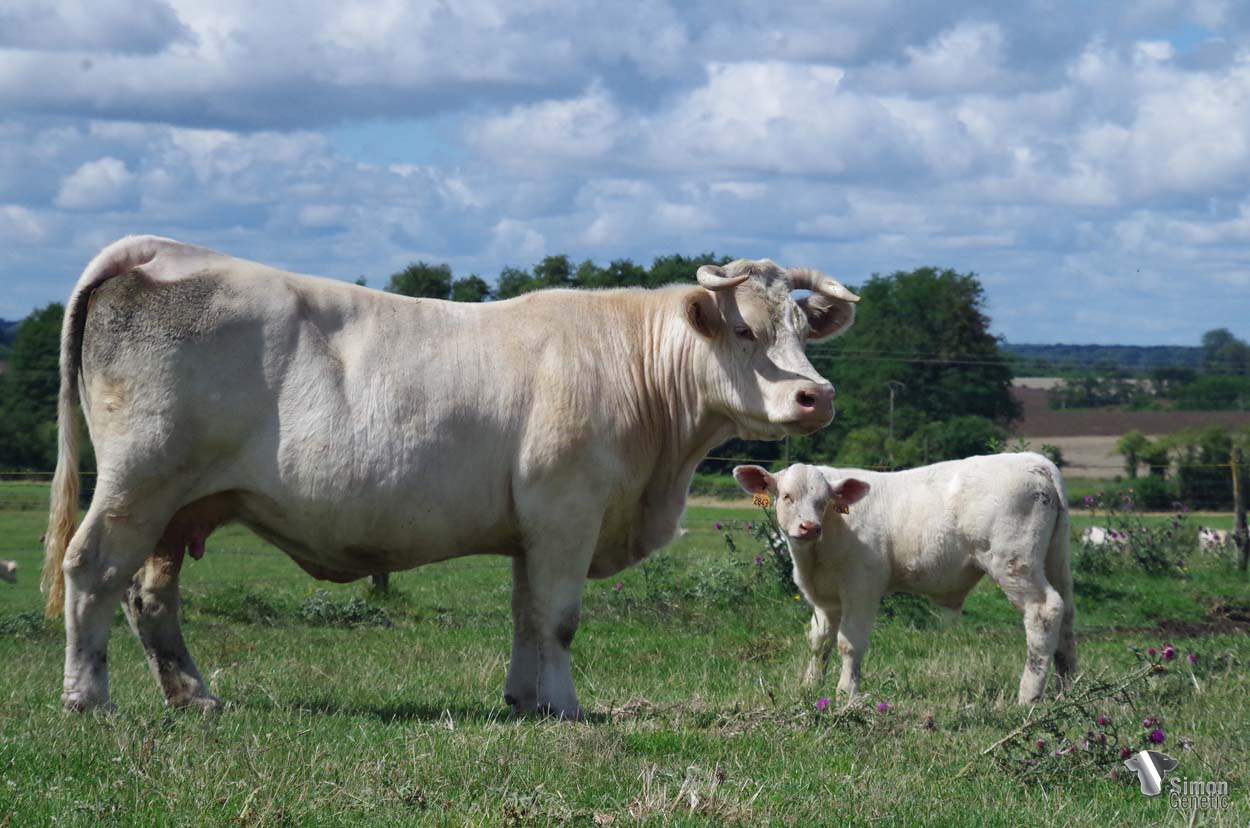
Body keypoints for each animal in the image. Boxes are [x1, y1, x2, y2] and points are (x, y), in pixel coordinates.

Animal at [41, 235, 860, 717]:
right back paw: (89, 701)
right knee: (92, 571)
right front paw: (568, 708)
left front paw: (525, 703)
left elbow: (528, 616)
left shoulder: (534, 527)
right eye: (746, 328)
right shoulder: (567, 510)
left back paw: (194, 697)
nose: (816, 396)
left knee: (150, 596)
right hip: (138, 481)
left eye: (802, 328)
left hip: (179, 503)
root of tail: (164, 254)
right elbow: (560, 619)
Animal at [733, 453, 1076, 705]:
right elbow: (819, 642)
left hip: (1014, 563)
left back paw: (1028, 696)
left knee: (1044, 611)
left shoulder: (862, 587)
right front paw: (809, 686)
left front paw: (846, 693)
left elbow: (849, 642)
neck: (815, 557)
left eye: (824, 501)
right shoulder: (824, 598)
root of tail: (1033, 460)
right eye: (786, 496)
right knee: (1067, 618)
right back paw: (1067, 689)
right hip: (1054, 561)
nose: (809, 527)